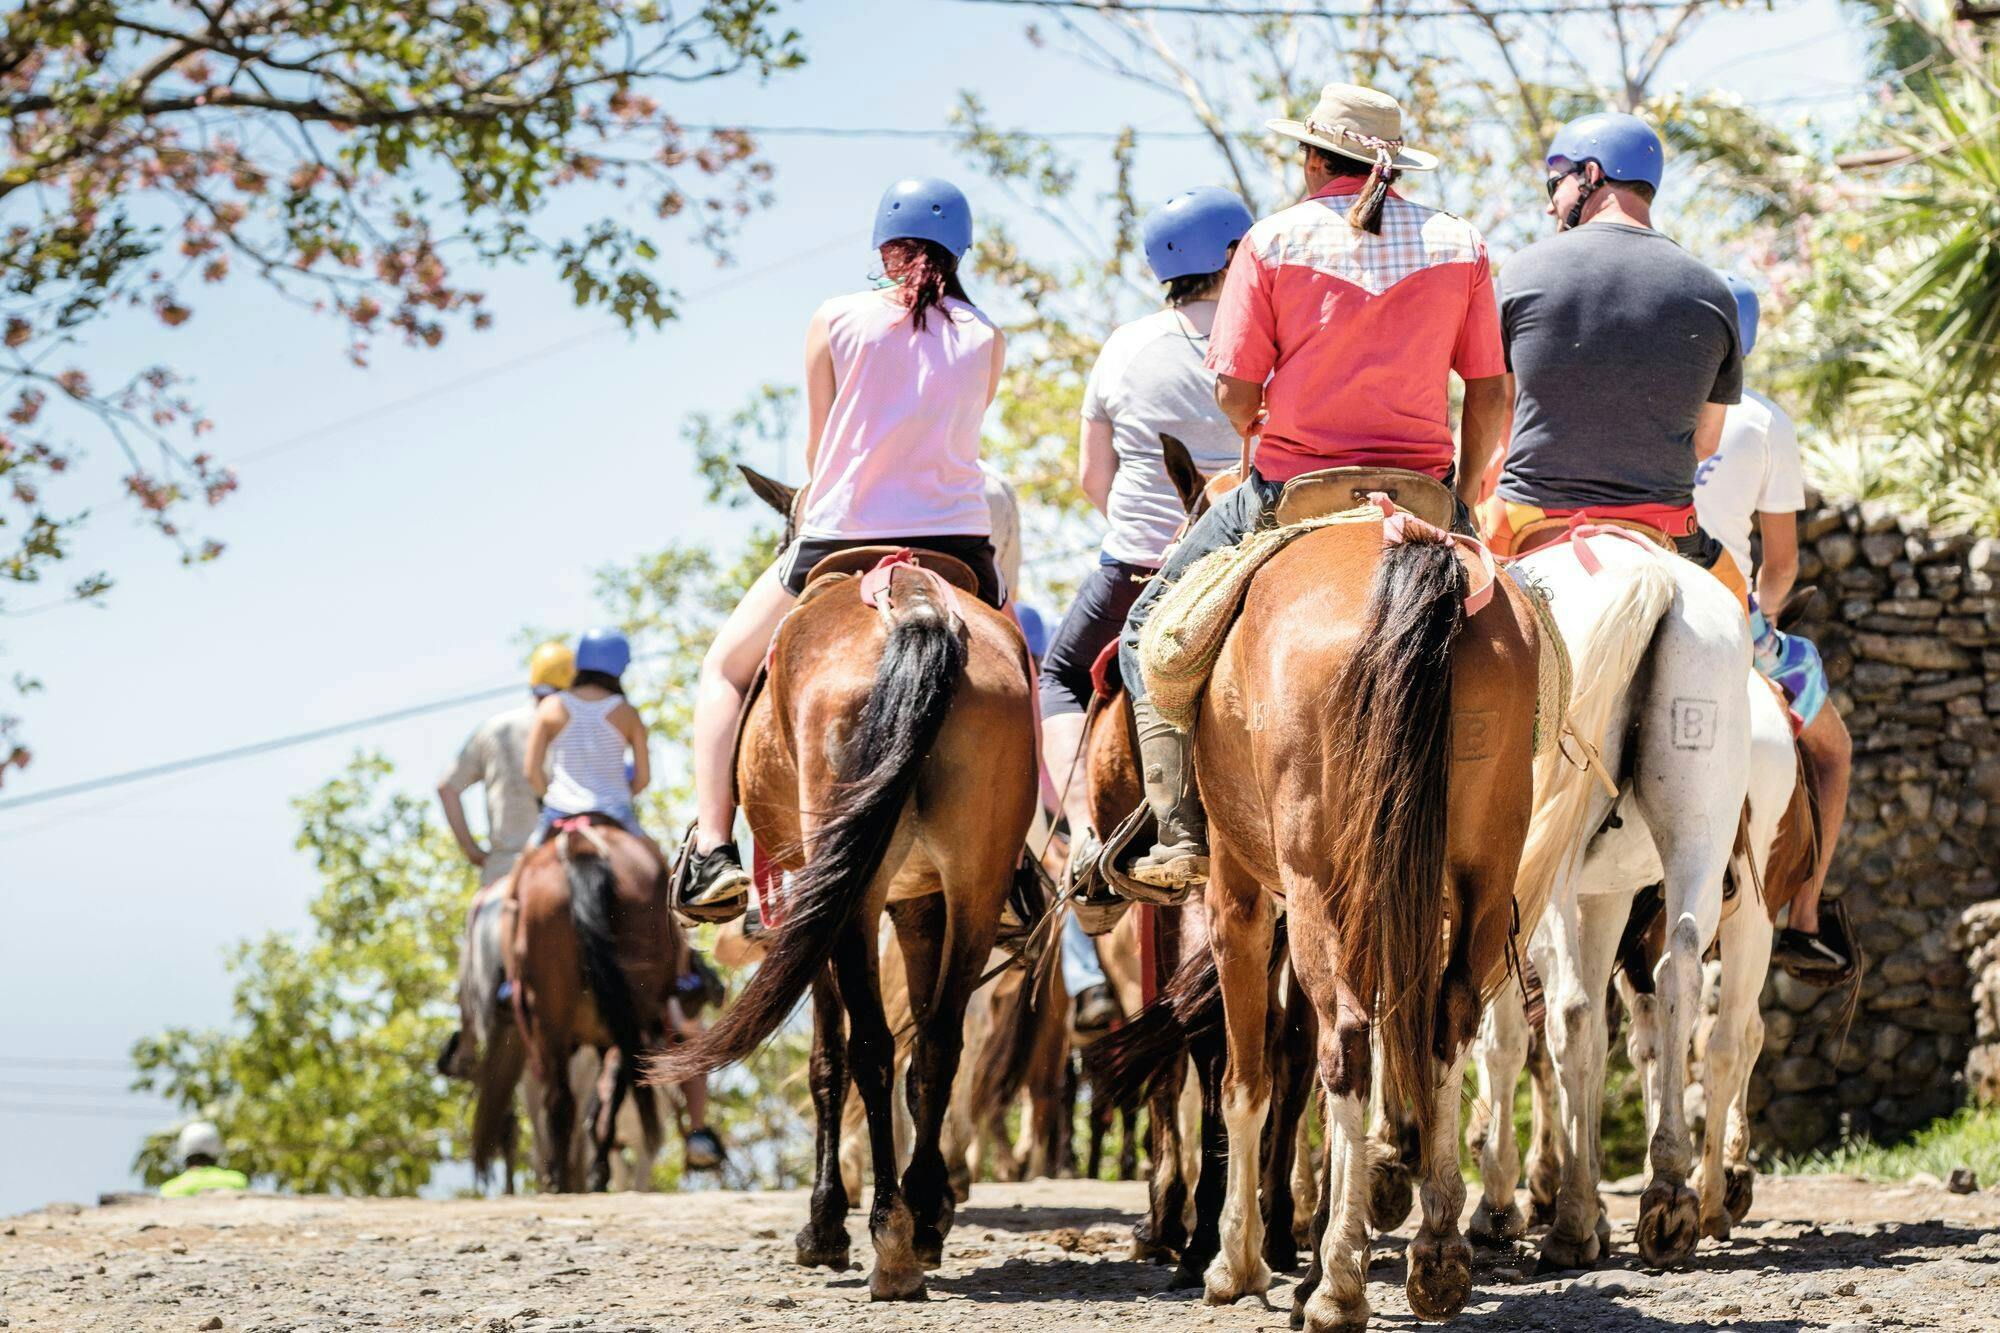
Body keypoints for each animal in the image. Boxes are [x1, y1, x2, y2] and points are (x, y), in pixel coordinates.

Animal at [508, 816, 680, 1184]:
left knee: (563, 1099)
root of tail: (584, 848)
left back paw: (562, 1178)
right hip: (627, 1008)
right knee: (609, 1090)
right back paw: (591, 1173)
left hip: (554, 1017)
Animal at [652, 492, 1040, 1288]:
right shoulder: (921, 903)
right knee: (937, 1044)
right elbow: (926, 1047)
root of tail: (915, 601)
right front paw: (932, 1206)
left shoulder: (812, 902)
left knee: (870, 1047)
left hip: (852, 894)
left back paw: (889, 1234)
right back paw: (917, 1216)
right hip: (977, 881)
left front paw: (825, 1222)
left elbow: (828, 1058)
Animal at [1464, 528, 1760, 1264]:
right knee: (1679, 967)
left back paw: (1571, 1222)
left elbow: (1509, 1038)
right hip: (1698, 830)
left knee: (1569, 1012)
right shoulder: (1608, 897)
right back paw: (1671, 1189)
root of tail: (1653, 578)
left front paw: (1504, 1202)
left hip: (1556, 878)